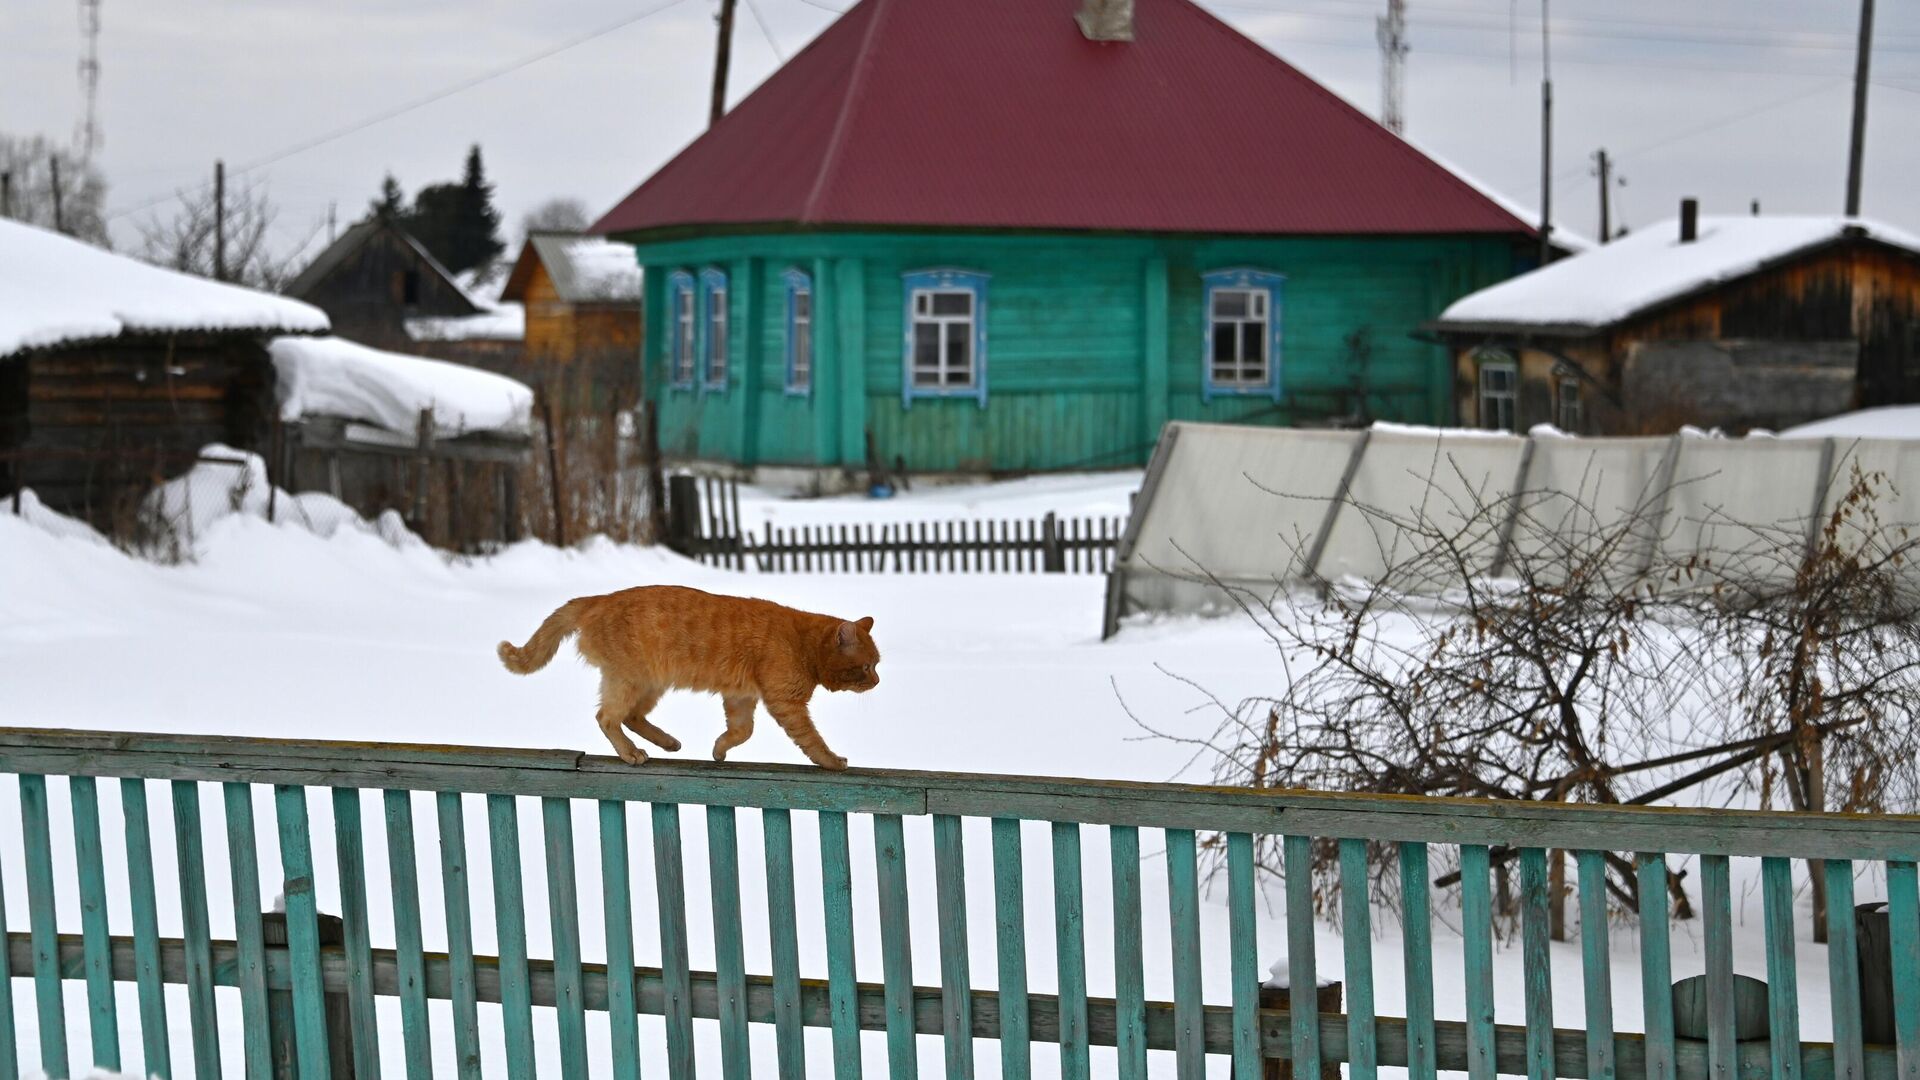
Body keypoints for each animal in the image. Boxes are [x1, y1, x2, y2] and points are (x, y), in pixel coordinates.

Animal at [499, 584, 879, 768]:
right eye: (866, 666)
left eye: (876, 664)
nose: (877, 681)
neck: (803, 642)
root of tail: (598, 598)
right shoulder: (786, 702)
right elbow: (812, 741)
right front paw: (832, 761)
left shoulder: (741, 697)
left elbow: (741, 731)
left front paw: (719, 750)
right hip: (629, 679)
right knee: (607, 717)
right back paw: (631, 753)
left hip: (649, 684)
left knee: (632, 716)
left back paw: (668, 743)